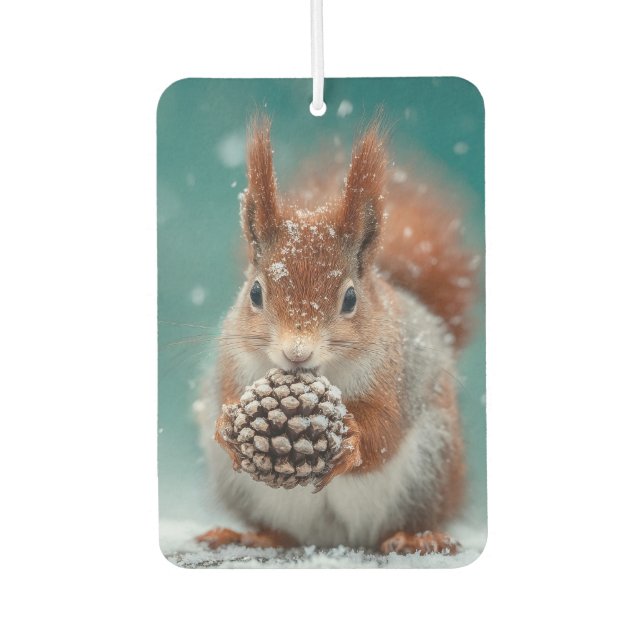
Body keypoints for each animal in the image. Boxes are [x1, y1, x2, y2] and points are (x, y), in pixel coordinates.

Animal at [196, 114, 478, 555]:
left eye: (350, 298)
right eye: (255, 293)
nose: (297, 354)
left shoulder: (397, 377)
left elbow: (385, 428)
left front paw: (353, 442)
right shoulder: (234, 361)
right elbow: (226, 394)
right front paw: (226, 426)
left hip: (430, 464)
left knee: (408, 518)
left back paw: (416, 537)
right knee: (281, 532)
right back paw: (253, 534)